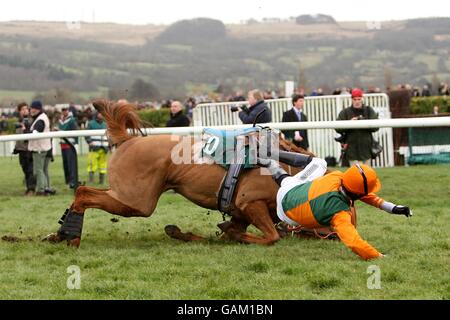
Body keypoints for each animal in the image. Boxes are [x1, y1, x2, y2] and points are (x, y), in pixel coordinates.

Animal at [45, 100, 336, 248]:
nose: (336, 235)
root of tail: (128, 139)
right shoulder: (250, 203)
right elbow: (270, 237)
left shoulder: (240, 213)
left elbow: (227, 231)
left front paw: (184, 232)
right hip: (137, 201)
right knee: (83, 191)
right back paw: (70, 235)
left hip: (128, 194)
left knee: (85, 192)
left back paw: (59, 234)